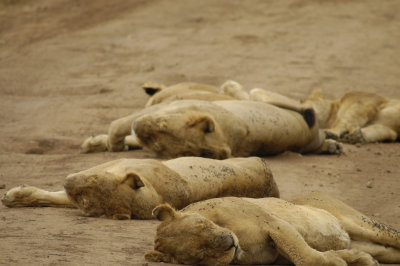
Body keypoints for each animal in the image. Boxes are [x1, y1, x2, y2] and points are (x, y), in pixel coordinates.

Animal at [146, 192, 400, 264]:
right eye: (200, 253)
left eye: (202, 224)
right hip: (374, 244)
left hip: (363, 224)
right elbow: (306, 255)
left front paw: (338, 261)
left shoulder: (275, 224)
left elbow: (304, 256)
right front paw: (355, 259)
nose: (228, 243)